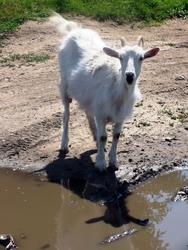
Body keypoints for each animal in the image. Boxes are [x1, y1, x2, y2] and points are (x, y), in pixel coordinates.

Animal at [50, 14, 159, 172]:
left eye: (141, 58)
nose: (129, 75)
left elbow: (116, 135)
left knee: (88, 112)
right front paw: (101, 163)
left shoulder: (120, 115)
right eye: (120, 57)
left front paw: (113, 161)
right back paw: (64, 144)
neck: (118, 91)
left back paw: (93, 137)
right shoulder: (101, 114)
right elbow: (104, 137)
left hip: (88, 96)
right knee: (66, 114)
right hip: (64, 85)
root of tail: (74, 30)